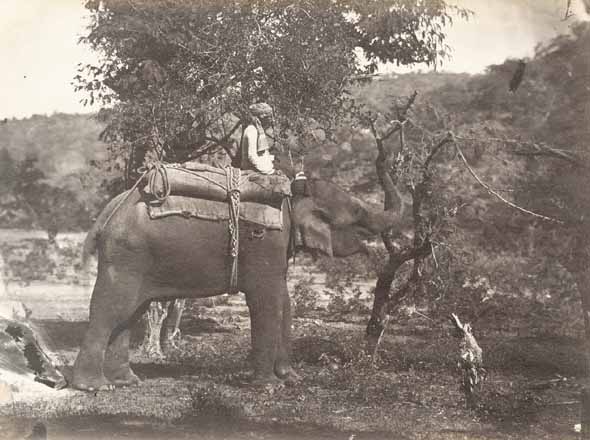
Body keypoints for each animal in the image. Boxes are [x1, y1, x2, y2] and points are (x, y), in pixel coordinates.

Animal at [70, 177, 402, 390]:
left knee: (130, 313)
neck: (290, 194)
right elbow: (266, 300)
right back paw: (94, 387)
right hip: (126, 256)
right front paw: (269, 387)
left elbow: (284, 302)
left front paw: (291, 379)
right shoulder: (267, 242)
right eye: (358, 212)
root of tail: (110, 209)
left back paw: (126, 382)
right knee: (111, 309)